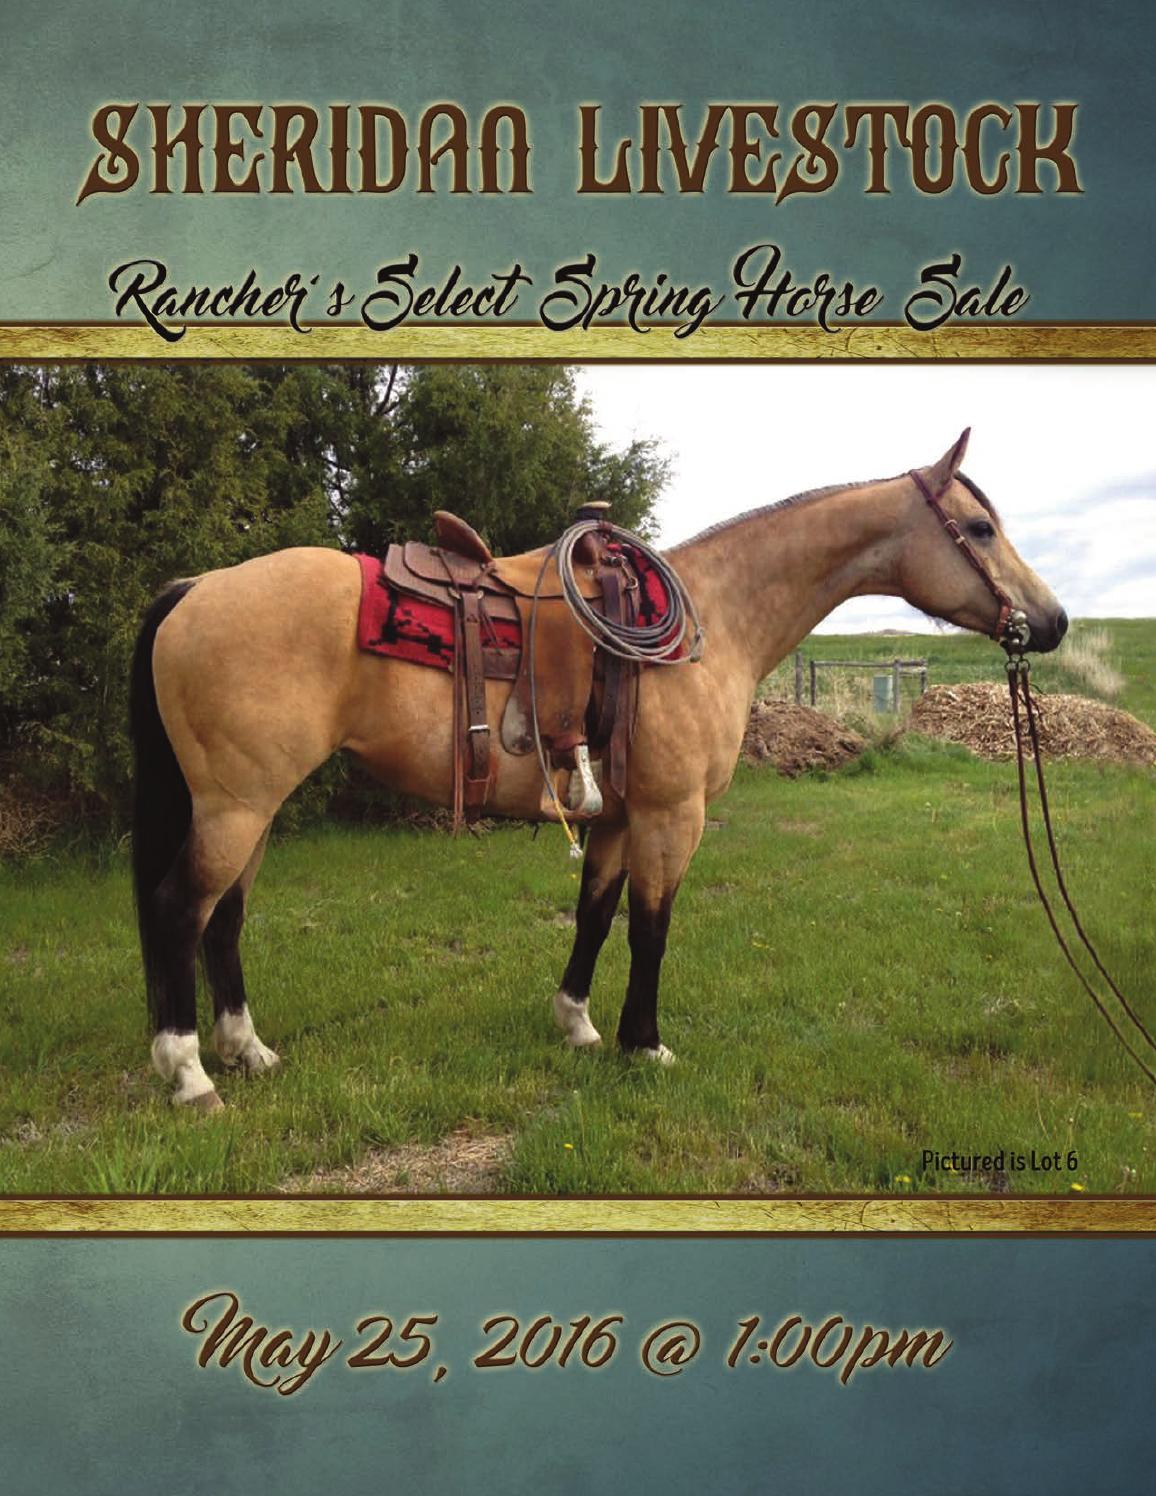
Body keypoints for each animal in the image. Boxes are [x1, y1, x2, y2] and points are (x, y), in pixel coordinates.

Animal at [130, 429, 1067, 1109]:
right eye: (979, 529)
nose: (1052, 621)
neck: (713, 621)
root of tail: (196, 587)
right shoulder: (671, 816)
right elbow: (652, 926)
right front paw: (642, 1043)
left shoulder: (615, 817)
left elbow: (595, 914)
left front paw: (577, 1026)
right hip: (236, 806)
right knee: (181, 910)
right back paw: (191, 1074)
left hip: (249, 809)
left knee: (223, 919)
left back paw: (248, 1051)